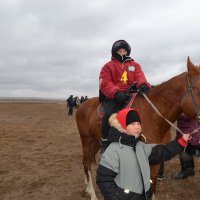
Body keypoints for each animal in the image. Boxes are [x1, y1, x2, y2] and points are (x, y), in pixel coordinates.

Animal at [75, 57, 200, 199]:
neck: (152, 116)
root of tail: (83, 105)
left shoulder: (157, 157)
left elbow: (152, 183)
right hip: (87, 140)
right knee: (86, 163)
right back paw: (92, 194)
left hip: (96, 142)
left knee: (87, 163)